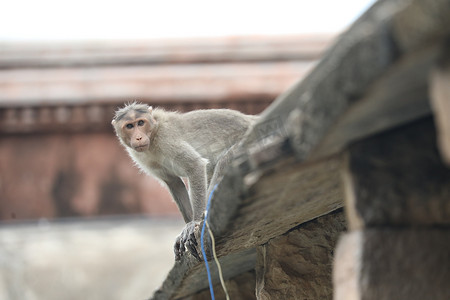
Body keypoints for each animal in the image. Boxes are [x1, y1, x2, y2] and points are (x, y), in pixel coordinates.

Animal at [111, 102, 258, 258]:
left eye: (140, 123)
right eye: (129, 126)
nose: (138, 137)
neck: (153, 136)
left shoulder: (166, 139)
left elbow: (195, 166)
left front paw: (194, 223)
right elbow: (174, 183)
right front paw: (187, 227)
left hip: (251, 141)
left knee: (225, 160)